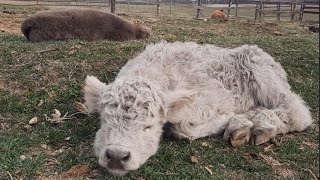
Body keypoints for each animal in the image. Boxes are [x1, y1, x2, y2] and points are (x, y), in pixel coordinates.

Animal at [82, 41, 310, 175]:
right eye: (104, 121)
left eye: (148, 127)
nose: (116, 156)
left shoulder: (215, 99)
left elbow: (184, 127)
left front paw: (229, 118)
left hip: (264, 75)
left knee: (298, 112)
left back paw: (258, 124)